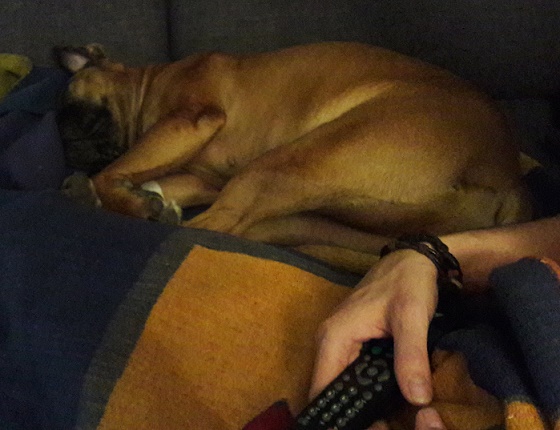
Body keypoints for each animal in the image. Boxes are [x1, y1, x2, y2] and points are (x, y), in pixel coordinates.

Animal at [55, 42, 532, 273]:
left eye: (70, 105)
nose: (66, 141)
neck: (148, 83)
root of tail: (507, 175)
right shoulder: (199, 178)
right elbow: (147, 176)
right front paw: (135, 194)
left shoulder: (187, 121)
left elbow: (113, 172)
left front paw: (124, 197)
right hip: (321, 215)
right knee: (247, 228)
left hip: (287, 163)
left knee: (216, 226)